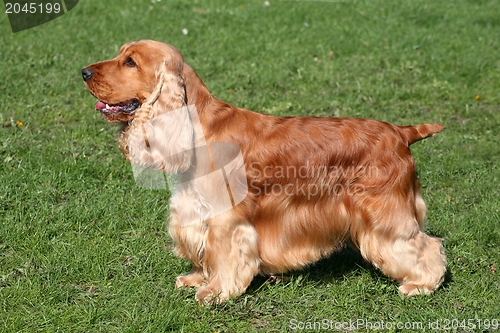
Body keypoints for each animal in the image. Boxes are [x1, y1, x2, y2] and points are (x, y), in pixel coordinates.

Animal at [82, 39, 446, 304]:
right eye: (119, 54)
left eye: (130, 62)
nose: (84, 71)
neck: (197, 128)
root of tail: (400, 132)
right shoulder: (194, 210)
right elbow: (204, 251)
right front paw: (196, 278)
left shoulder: (226, 217)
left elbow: (224, 254)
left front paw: (215, 292)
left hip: (385, 211)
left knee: (424, 245)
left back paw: (421, 284)